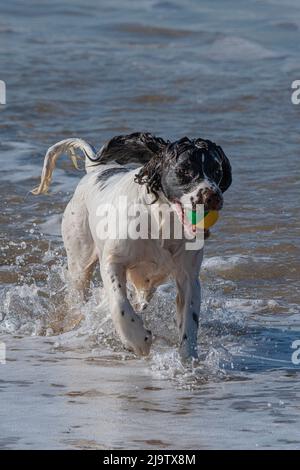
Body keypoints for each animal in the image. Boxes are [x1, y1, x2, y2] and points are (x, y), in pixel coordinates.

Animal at [32, 132, 232, 360]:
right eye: (184, 170)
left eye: (217, 170)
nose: (212, 196)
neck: (161, 222)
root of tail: (96, 170)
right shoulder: (113, 261)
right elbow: (119, 303)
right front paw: (137, 339)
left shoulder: (188, 276)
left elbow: (189, 321)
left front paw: (187, 360)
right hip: (79, 261)